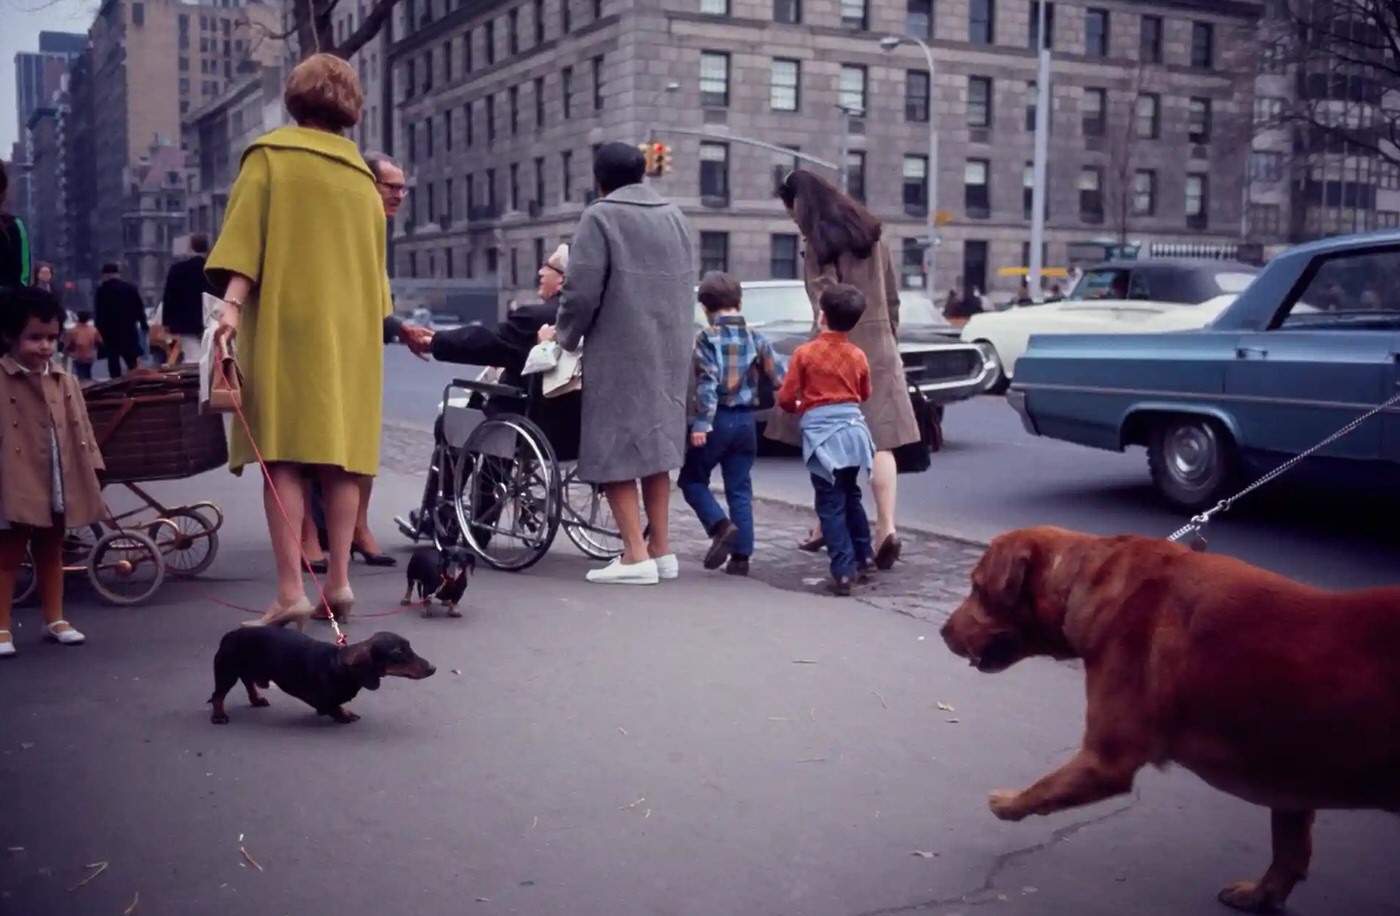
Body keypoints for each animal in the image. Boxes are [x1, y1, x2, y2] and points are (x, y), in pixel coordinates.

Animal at [935, 526, 1400, 913]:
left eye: (976, 587)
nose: (941, 631)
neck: (1090, 581)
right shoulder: (1290, 776)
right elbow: (1289, 848)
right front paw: (1262, 895)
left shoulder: (1105, 758)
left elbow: (1045, 785)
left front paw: (1007, 802)